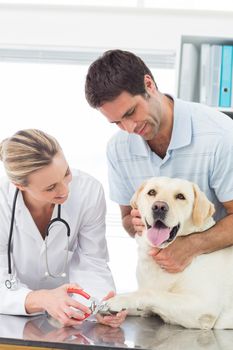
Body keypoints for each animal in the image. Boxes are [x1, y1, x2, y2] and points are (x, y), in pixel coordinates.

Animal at [107, 178, 233, 328]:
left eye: (180, 196)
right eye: (152, 192)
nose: (159, 207)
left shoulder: (204, 306)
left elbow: (151, 293)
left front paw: (118, 299)